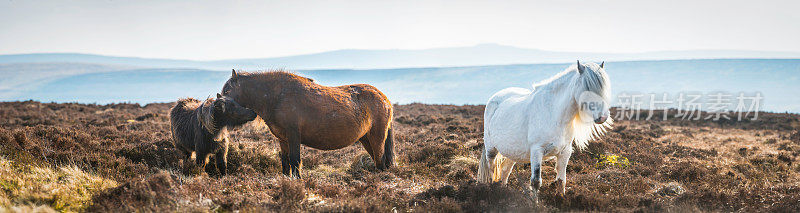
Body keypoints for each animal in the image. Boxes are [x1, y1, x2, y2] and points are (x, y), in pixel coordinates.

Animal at [220, 70, 396, 178]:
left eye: (227, 91)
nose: (218, 108)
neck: (277, 97)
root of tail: (384, 99)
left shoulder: (293, 136)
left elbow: (295, 160)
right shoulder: (283, 139)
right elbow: (285, 161)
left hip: (377, 137)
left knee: (380, 160)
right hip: (365, 138)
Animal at [482, 61, 612, 201]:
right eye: (587, 87)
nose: (603, 117)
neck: (554, 113)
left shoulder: (565, 152)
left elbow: (561, 180)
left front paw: (561, 200)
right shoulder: (536, 151)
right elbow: (536, 181)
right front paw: (535, 203)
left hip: (513, 151)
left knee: (505, 169)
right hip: (491, 149)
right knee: (491, 168)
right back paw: (493, 191)